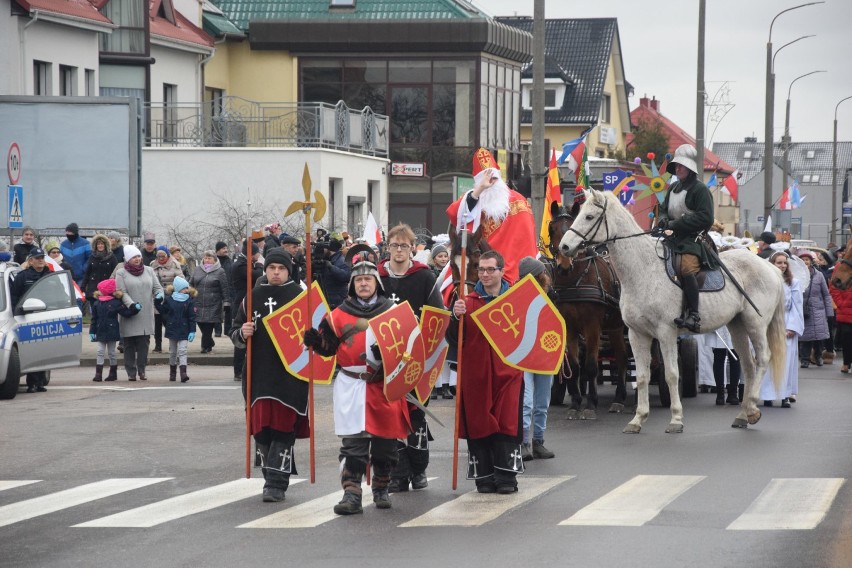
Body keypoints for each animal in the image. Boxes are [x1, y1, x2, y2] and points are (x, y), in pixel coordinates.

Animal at [548, 202, 628, 420]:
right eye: (551, 229)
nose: (564, 265)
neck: (576, 280)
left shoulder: (592, 326)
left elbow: (591, 366)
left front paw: (591, 404)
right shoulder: (570, 327)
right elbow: (575, 367)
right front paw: (576, 404)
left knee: (622, 359)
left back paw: (619, 399)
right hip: (614, 327)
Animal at [560, 189, 784, 432]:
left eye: (589, 216)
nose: (564, 247)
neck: (643, 270)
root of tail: (770, 266)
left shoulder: (665, 333)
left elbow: (671, 374)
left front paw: (676, 419)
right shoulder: (637, 334)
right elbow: (642, 376)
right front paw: (638, 419)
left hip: (755, 323)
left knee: (762, 359)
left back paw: (752, 408)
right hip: (738, 325)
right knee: (748, 364)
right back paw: (743, 415)